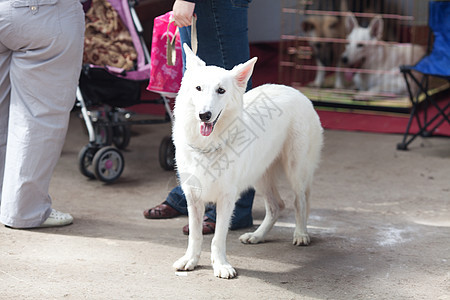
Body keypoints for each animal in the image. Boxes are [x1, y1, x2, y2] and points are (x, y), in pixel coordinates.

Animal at [172, 44, 324, 278]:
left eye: (221, 91)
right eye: (198, 88)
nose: (204, 115)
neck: (209, 145)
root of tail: (297, 91)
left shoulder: (227, 198)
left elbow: (218, 238)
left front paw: (221, 265)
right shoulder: (193, 196)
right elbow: (195, 235)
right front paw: (191, 260)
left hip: (296, 170)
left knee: (299, 202)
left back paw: (300, 234)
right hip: (260, 175)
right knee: (277, 206)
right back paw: (257, 236)